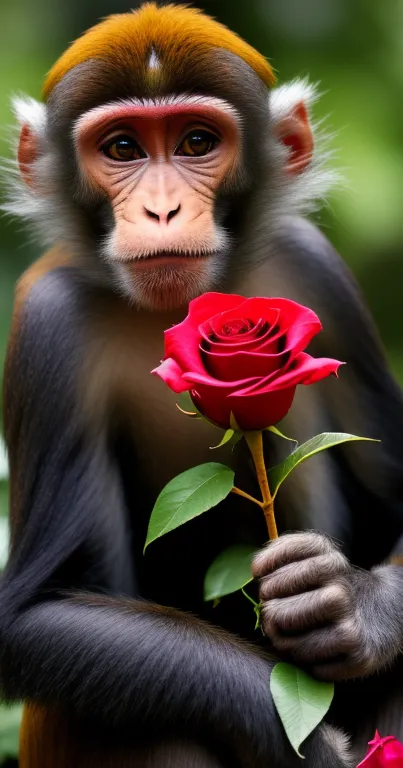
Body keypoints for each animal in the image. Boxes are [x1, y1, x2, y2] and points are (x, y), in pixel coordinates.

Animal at [0, 3, 403, 764]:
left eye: (195, 141)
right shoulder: (48, 327)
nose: (160, 210)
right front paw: (299, 739)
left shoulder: (316, 271)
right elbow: (35, 616)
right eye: (122, 148)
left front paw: (351, 607)